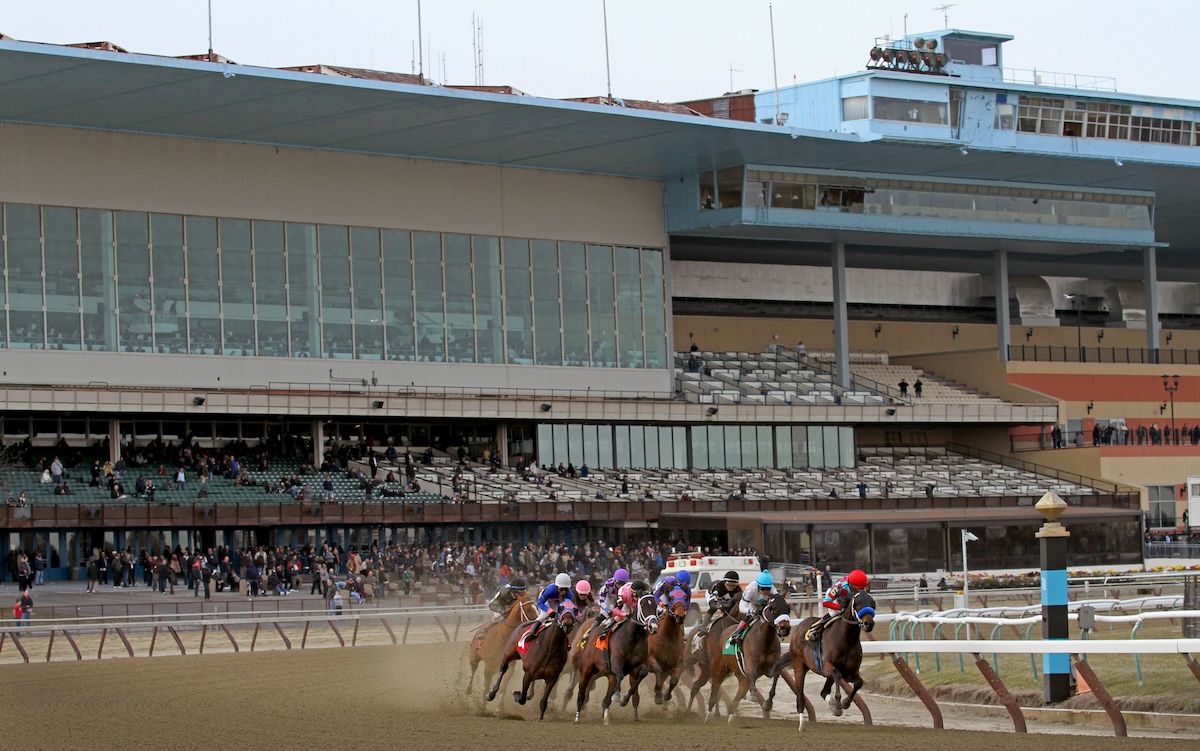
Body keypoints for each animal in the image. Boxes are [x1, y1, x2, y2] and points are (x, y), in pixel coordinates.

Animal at [573, 592, 662, 724]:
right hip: (586, 671)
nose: (654, 626)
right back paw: (577, 716)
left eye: (655, 606)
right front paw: (617, 696)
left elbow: (643, 673)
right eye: (643, 606)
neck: (634, 637)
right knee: (581, 693)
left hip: (609, 676)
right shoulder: (615, 662)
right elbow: (620, 674)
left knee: (605, 700)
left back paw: (606, 717)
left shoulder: (636, 666)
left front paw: (624, 699)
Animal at [700, 590, 787, 719]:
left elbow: (776, 674)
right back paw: (708, 717)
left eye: (788, 608)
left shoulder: (770, 668)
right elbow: (753, 674)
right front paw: (752, 696)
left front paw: (768, 703)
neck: (766, 638)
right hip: (718, 669)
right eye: (773, 609)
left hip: (740, 677)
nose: (785, 628)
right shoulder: (749, 665)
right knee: (714, 693)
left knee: (734, 701)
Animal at [763, 587, 878, 729]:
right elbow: (837, 675)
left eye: (873, 603)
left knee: (823, 692)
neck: (847, 639)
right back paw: (801, 724)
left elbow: (859, 682)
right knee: (800, 697)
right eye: (857, 603)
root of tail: (798, 628)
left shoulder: (850, 672)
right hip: (799, 666)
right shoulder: (827, 666)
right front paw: (838, 705)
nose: (868, 623)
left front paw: (845, 702)